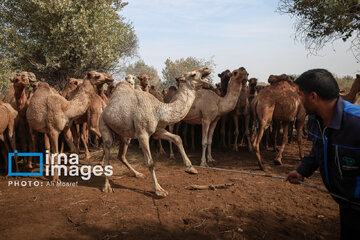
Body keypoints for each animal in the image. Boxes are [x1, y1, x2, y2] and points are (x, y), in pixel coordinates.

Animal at [100, 66, 211, 196]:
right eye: (193, 74)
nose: (206, 69)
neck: (158, 110)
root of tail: (105, 109)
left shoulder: (158, 131)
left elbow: (177, 138)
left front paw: (190, 168)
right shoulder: (142, 134)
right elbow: (150, 163)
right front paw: (159, 190)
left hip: (124, 135)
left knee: (121, 155)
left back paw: (137, 174)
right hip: (103, 124)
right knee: (107, 151)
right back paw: (106, 187)